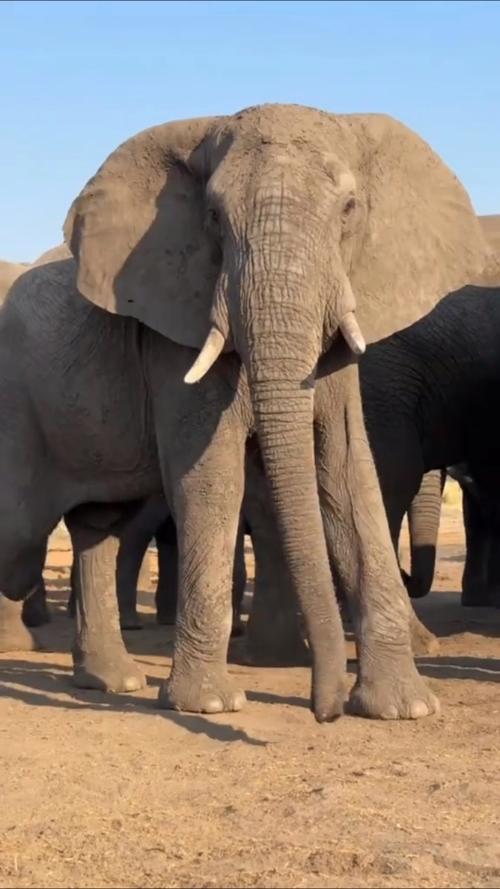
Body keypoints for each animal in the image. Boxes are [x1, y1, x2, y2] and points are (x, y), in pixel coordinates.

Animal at [0, 103, 487, 721]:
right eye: (212, 216)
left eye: (349, 209)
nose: (323, 710)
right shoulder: (173, 331)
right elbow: (212, 477)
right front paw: (209, 704)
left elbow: (347, 468)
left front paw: (405, 708)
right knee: (20, 527)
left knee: (97, 527)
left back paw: (111, 682)